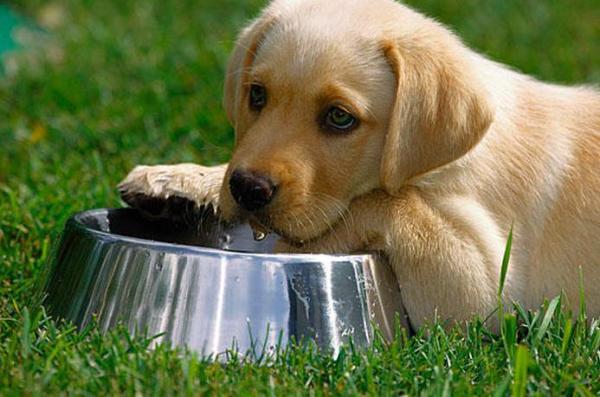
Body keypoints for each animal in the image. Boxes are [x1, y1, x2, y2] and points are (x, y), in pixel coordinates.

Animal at [118, 0, 600, 328]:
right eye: (257, 95)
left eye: (339, 117)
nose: (249, 188)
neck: (435, 168)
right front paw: (181, 180)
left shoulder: (484, 294)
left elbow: (389, 203)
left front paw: (302, 247)